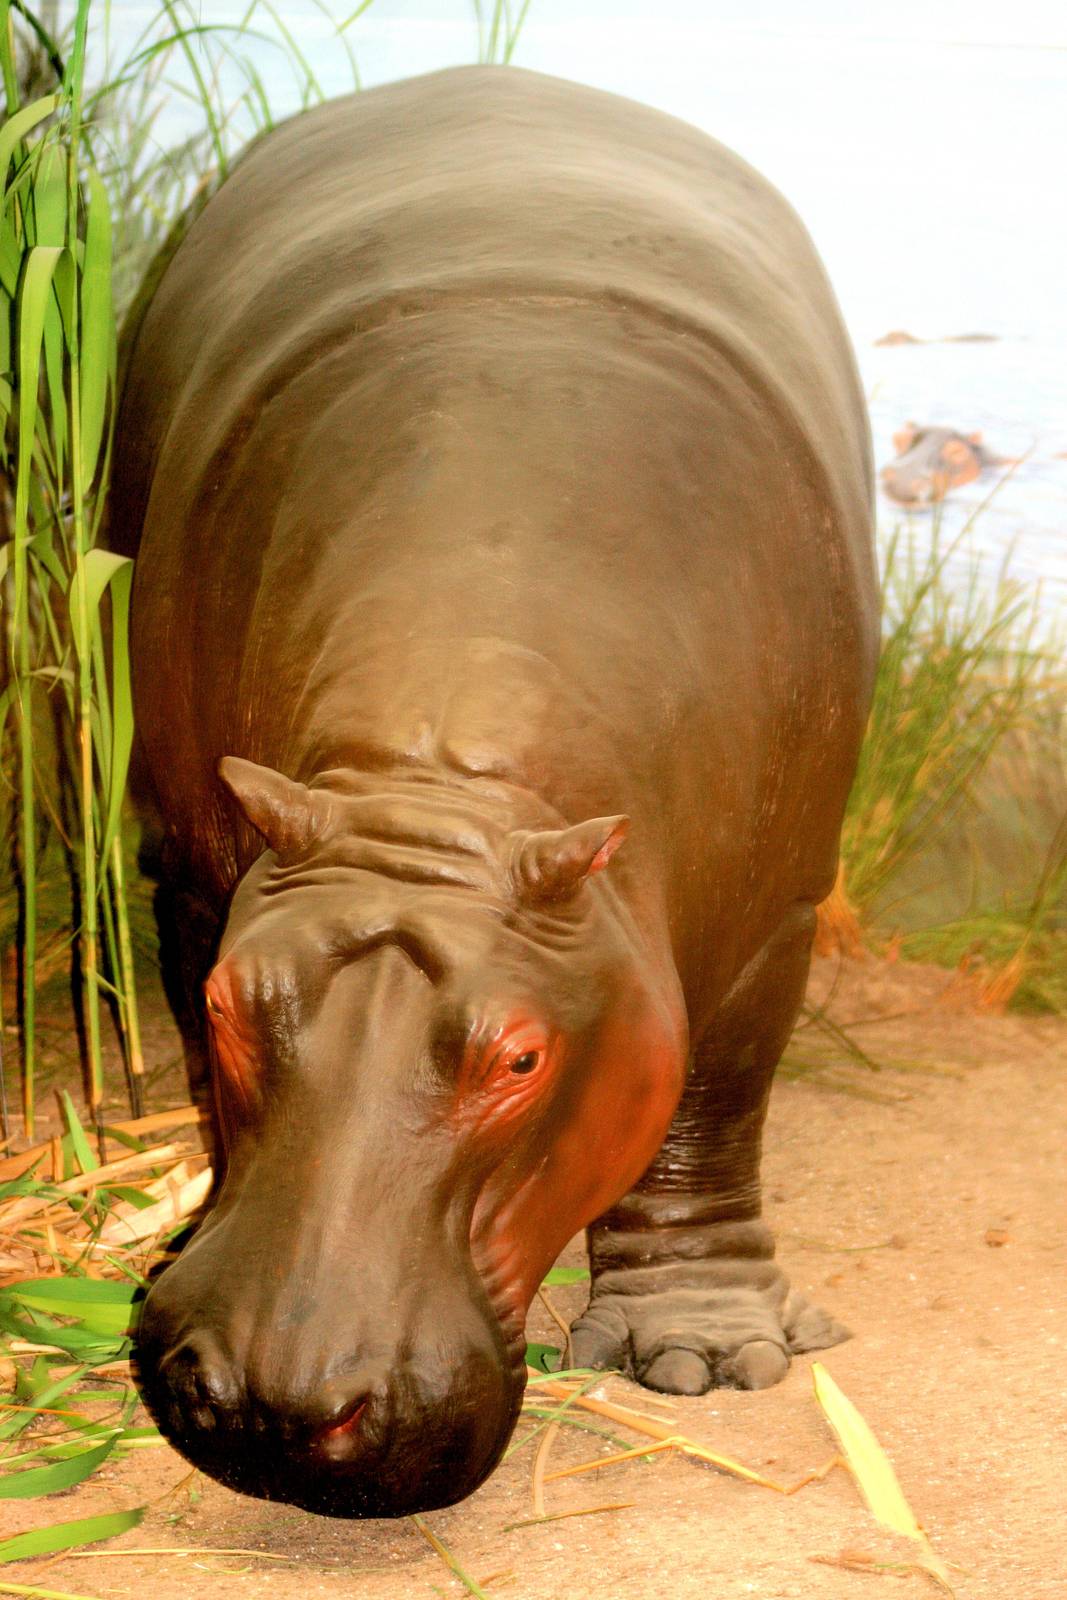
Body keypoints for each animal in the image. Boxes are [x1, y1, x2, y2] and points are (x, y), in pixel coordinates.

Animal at [110, 66, 879, 1519]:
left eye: (522, 1055)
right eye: (233, 1005)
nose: (281, 1408)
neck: (441, 787)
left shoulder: (771, 910)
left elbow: (715, 1100)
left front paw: (705, 1360)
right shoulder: (193, 857)